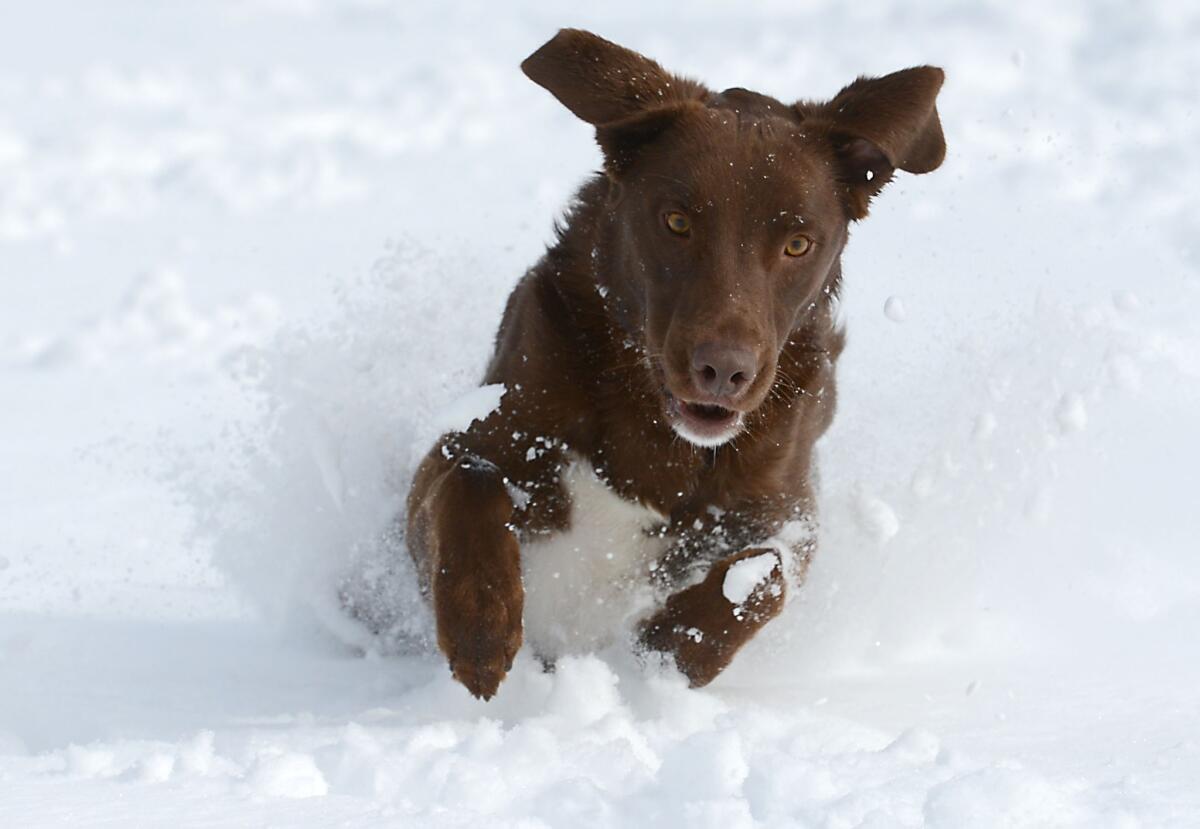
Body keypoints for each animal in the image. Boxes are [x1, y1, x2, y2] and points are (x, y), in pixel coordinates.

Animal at [405, 27, 945, 700]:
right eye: (677, 221)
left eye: (798, 244)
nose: (725, 371)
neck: (655, 424)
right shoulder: (479, 438)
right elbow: (468, 481)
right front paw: (481, 629)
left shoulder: (787, 505)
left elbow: (764, 572)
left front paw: (663, 653)